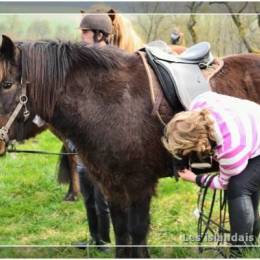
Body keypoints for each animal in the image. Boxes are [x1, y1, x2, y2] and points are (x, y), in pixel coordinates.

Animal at [1, 35, 260, 258]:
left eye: (6, 84)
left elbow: (137, 231)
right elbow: (121, 231)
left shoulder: (139, 184)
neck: (112, 104)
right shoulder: (112, 186)